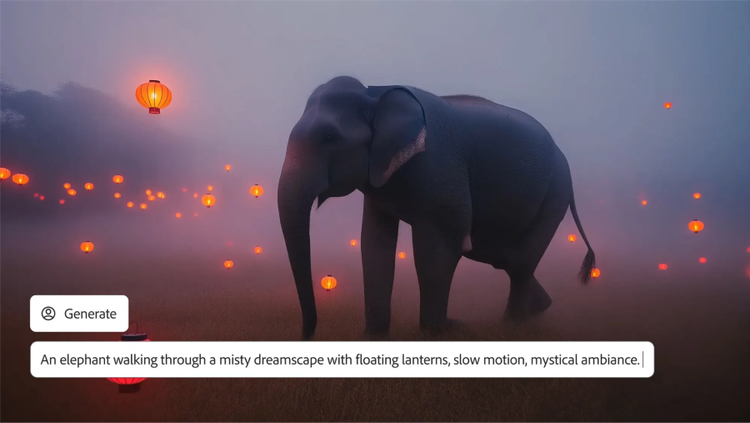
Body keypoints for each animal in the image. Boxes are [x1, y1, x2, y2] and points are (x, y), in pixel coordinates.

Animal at [278, 76, 595, 340]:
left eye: (330, 138)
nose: (308, 335)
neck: (376, 93)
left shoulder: (440, 166)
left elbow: (440, 246)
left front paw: (443, 330)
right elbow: (375, 244)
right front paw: (374, 336)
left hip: (554, 195)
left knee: (520, 262)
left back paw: (512, 327)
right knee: (504, 258)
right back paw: (539, 310)